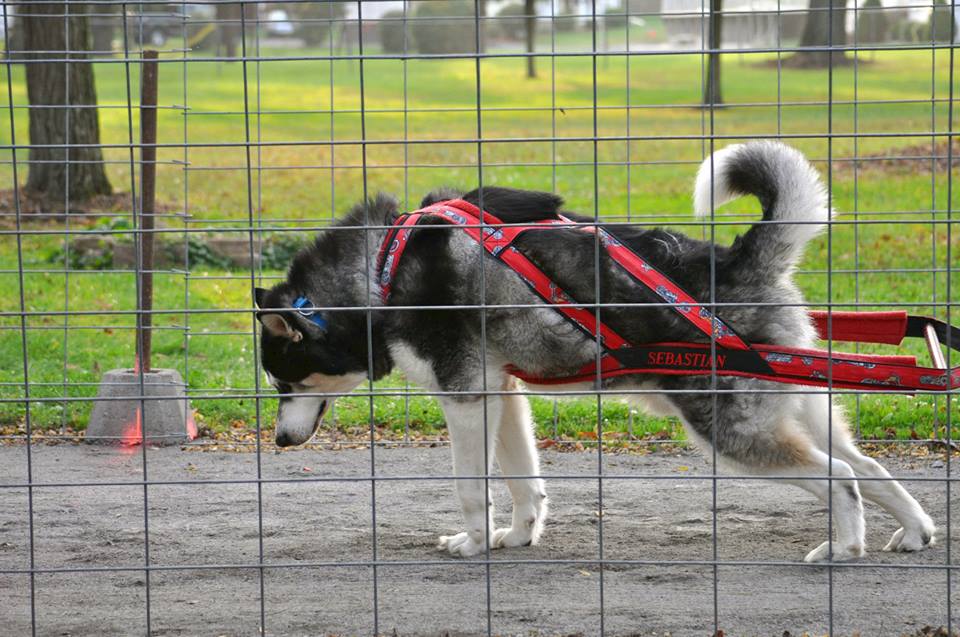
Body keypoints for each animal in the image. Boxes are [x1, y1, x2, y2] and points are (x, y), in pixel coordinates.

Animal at [256, 142, 936, 560]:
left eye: (286, 382)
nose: (281, 443)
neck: (384, 267)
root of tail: (740, 257)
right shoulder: (503, 391)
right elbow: (523, 481)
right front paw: (517, 536)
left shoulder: (466, 397)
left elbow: (472, 487)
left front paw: (474, 542)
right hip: (802, 411)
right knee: (869, 467)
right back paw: (914, 531)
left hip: (733, 432)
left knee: (843, 478)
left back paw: (845, 547)